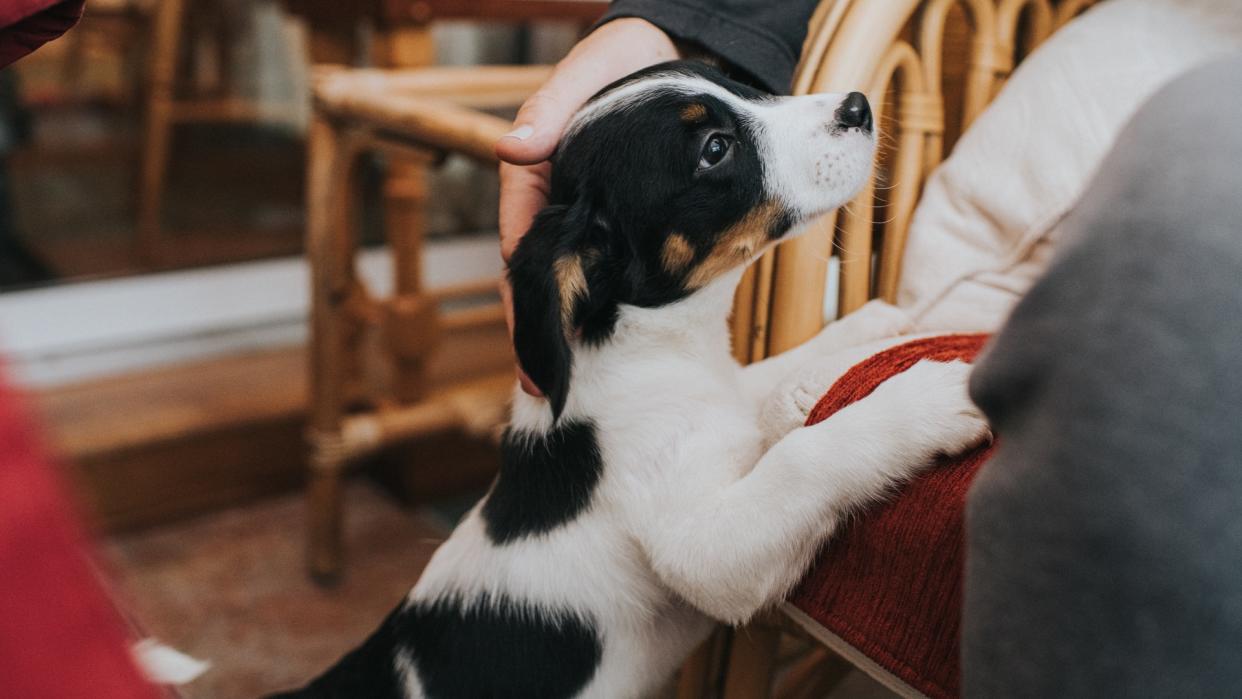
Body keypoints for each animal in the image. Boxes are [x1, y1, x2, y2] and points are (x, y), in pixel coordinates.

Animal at [274, 61, 988, 699]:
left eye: (742, 85)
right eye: (715, 149)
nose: (858, 106)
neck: (653, 348)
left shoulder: (723, 396)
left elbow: (769, 381)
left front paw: (876, 326)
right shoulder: (702, 549)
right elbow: (807, 457)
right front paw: (928, 396)